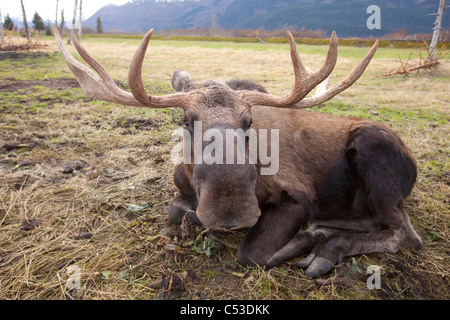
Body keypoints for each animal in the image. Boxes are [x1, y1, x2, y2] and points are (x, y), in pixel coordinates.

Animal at [53, 25, 422, 278]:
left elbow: (251, 253)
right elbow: (177, 212)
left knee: (405, 235)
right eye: (185, 120)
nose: (230, 211)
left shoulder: (300, 196)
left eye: (248, 121)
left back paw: (328, 245)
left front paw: (310, 235)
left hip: (372, 148)